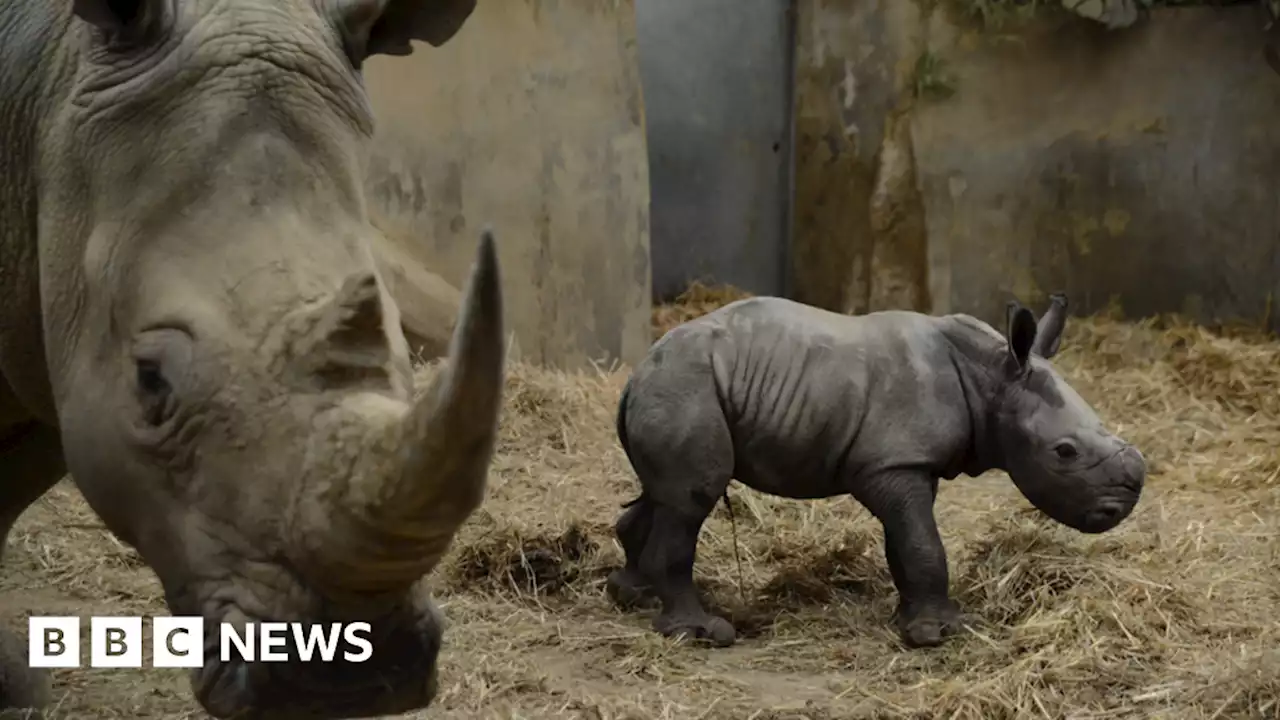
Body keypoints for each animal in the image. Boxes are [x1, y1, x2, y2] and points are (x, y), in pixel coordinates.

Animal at [0, 1, 504, 717]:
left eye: (407, 359)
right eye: (149, 381)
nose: (348, 682)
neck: (49, 85)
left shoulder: (52, 335)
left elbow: (6, 493)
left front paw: (12, 686)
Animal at [609, 292, 1152, 645]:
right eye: (1065, 452)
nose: (1123, 504)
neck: (991, 379)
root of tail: (635, 376)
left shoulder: (905, 464)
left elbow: (906, 542)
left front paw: (915, 619)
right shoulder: (893, 464)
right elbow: (923, 543)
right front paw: (939, 634)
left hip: (678, 390)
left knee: (665, 494)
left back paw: (632, 596)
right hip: (686, 389)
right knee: (692, 497)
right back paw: (700, 633)